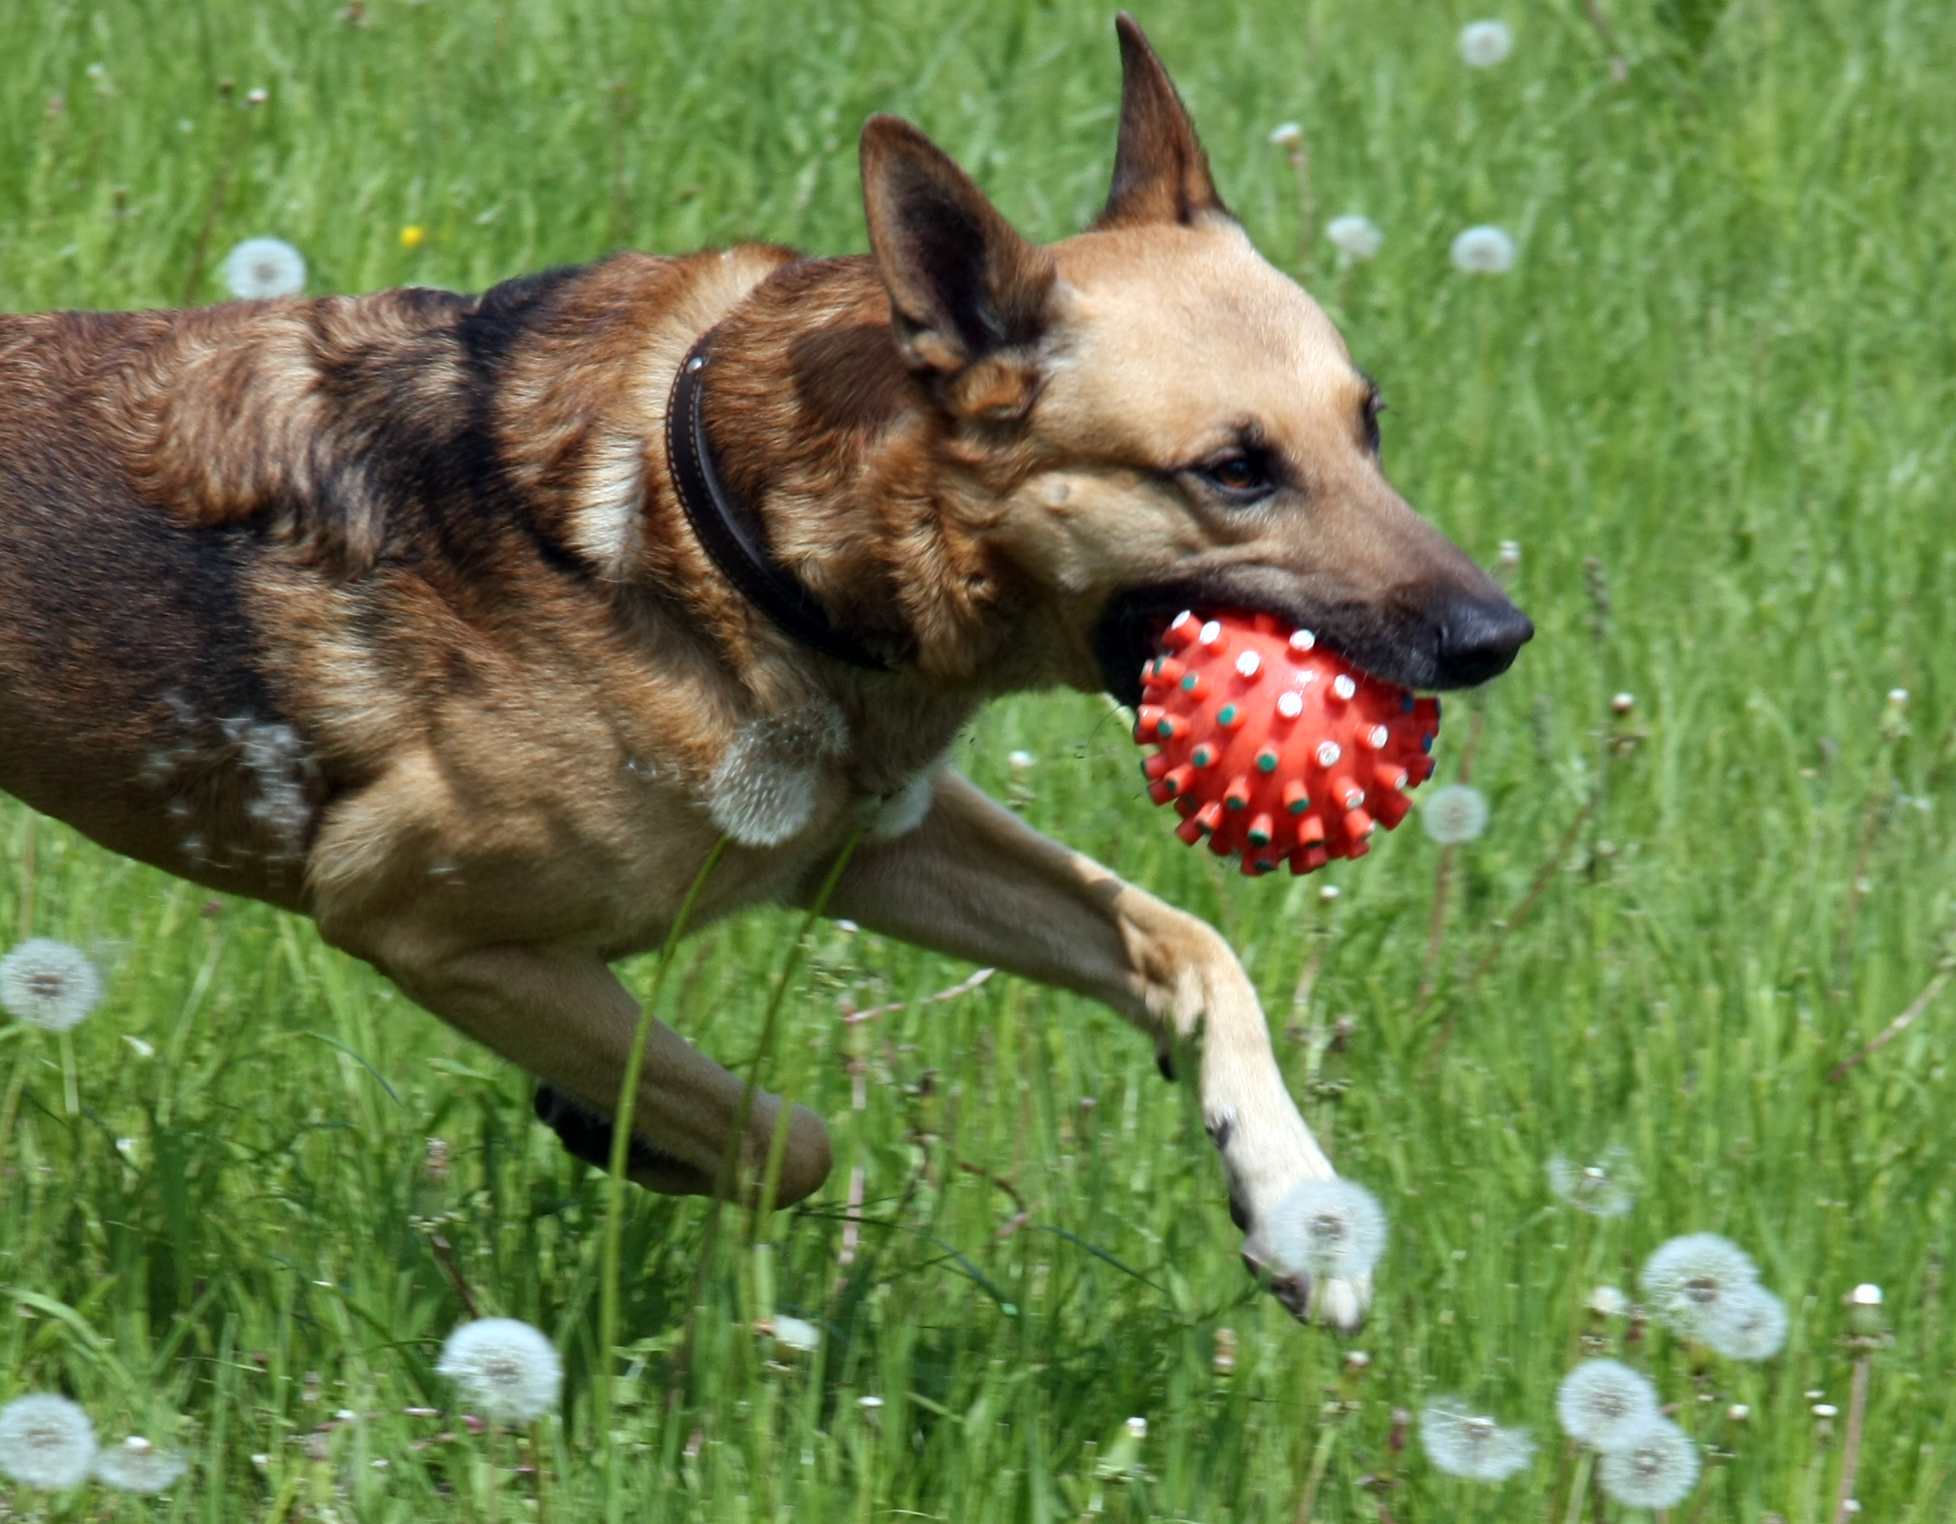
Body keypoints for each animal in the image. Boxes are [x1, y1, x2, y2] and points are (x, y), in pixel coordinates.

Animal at [0, 11, 1525, 1330]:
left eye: (1370, 424)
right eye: (1233, 470)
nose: (1498, 636)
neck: (724, 529)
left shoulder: (862, 843)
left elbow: (1186, 943)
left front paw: (1291, 1207)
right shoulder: (406, 914)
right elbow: (789, 1140)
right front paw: (621, 1126)